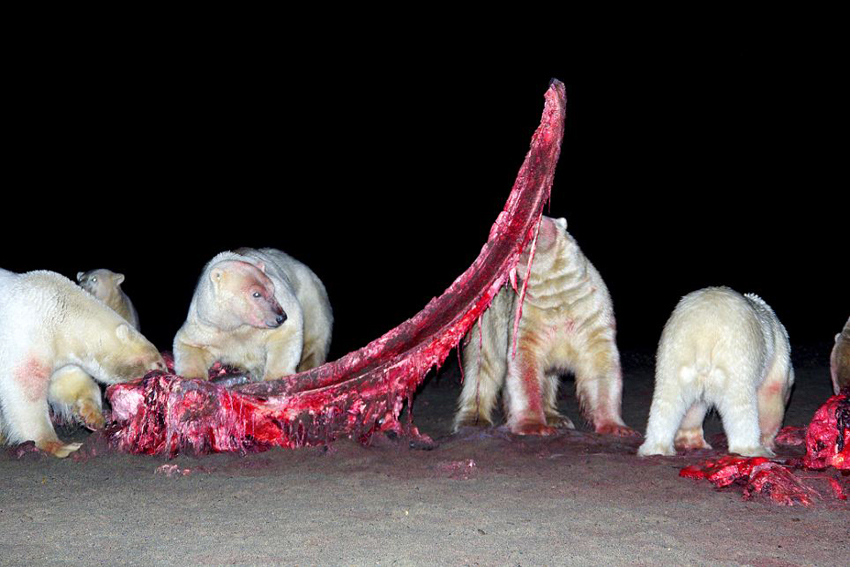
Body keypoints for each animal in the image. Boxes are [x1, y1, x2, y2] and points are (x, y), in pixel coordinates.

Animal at [0, 268, 165, 457]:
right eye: (159, 363)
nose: (166, 373)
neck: (58, 311)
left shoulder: (59, 348)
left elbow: (68, 381)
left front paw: (92, 416)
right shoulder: (27, 335)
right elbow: (25, 387)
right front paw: (60, 445)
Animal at [173, 247, 333, 382]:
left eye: (272, 289)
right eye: (256, 294)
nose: (281, 317)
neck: (237, 324)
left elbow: (286, 332)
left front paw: (275, 377)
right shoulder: (207, 327)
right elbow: (188, 344)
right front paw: (193, 377)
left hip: (311, 295)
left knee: (315, 337)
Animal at [454, 216, 635, 437]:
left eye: (539, 218)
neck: (556, 292)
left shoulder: (590, 313)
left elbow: (600, 363)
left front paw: (616, 427)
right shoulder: (527, 316)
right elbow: (524, 364)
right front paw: (534, 426)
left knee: (547, 378)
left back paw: (556, 417)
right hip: (488, 323)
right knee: (483, 368)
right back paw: (473, 421)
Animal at [638, 287, 794, 458]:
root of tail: (704, 337)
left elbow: (695, 405)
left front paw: (690, 441)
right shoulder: (776, 360)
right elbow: (770, 398)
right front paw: (767, 441)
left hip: (675, 354)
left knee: (668, 399)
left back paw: (656, 448)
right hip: (737, 356)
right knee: (739, 403)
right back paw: (752, 449)